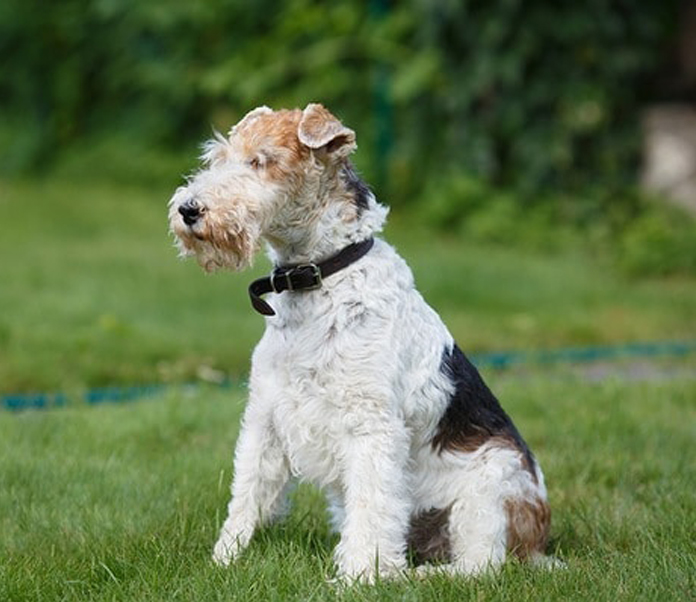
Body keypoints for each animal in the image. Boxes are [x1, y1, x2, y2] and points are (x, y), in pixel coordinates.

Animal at [169, 103, 556, 580]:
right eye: (218, 157)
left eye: (261, 161)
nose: (189, 210)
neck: (321, 275)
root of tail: (540, 544)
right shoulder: (266, 415)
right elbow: (247, 495)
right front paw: (223, 561)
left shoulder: (370, 425)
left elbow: (372, 509)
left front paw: (358, 579)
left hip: (489, 489)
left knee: (480, 565)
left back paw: (414, 576)